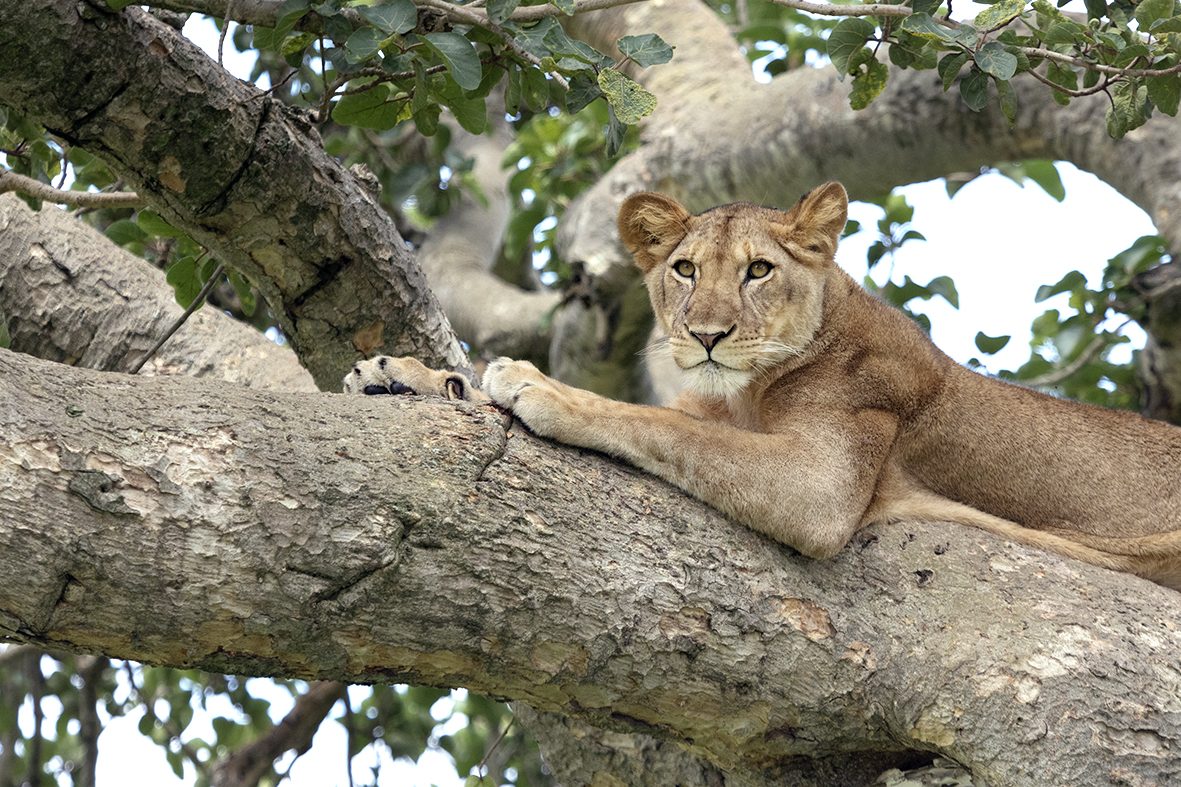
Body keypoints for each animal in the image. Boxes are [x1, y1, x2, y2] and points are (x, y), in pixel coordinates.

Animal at [345, 183, 1181, 591]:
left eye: (758, 269)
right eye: (684, 268)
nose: (707, 334)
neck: (745, 388)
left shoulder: (823, 482)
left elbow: (663, 427)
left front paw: (540, 387)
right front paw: (402, 374)